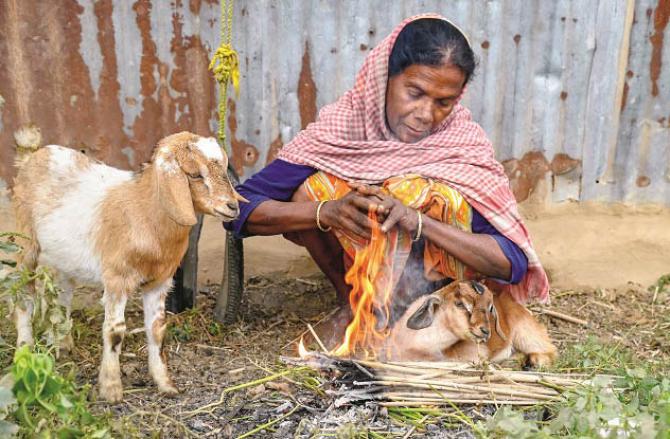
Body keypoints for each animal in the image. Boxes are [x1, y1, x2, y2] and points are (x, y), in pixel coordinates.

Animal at [11, 131, 247, 402]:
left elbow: (157, 329)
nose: (233, 207)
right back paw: (25, 349)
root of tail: (33, 155)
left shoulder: (160, 281)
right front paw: (111, 389)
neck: (144, 210)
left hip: (64, 258)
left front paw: (166, 384)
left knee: (62, 295)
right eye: (195, 174)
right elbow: (115, 331)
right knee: (23, 294)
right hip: (26, 243)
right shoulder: (117, 278)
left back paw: (63, 343)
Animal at [386, 282, 560, 368]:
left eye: (490, 307)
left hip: (527, 334)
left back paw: (533, 362)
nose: (485, 331)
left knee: (551, 351)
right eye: (460, 304)